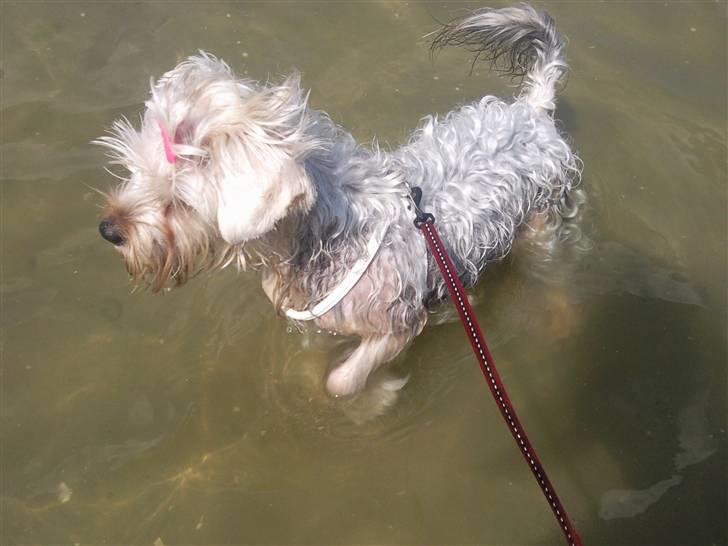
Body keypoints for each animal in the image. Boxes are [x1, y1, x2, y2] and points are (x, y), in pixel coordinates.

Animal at [96, 3, 584, 396]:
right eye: (134, 171)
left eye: (178, 200)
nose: (108, 229)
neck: (328, 237)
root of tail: (533, 110)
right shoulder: (316, 318)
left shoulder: (397, 325)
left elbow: (341, 382)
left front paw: (380, 392)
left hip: (542, 222)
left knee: (555, 272)